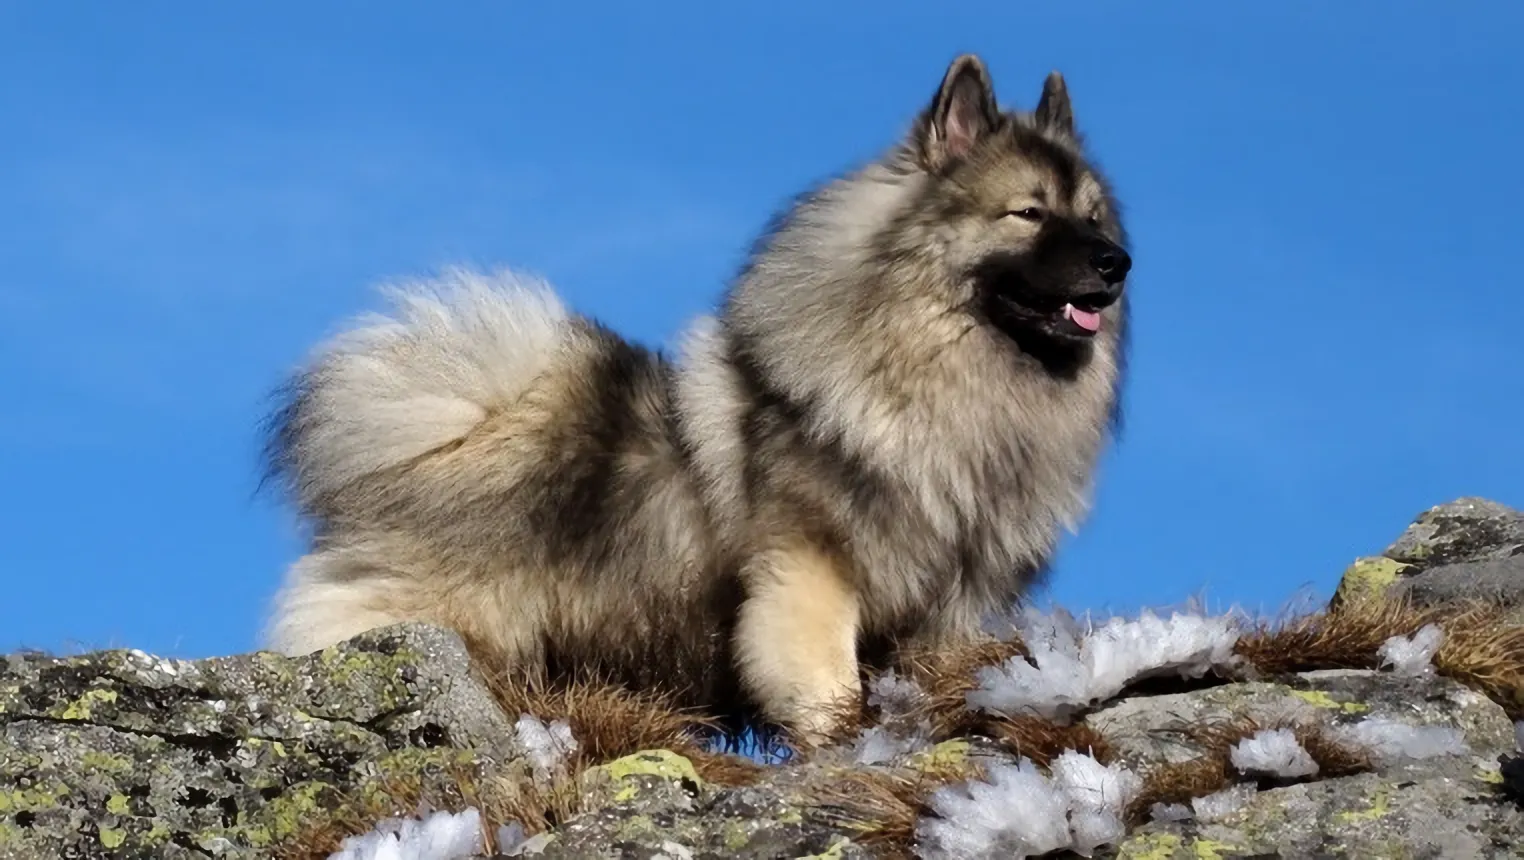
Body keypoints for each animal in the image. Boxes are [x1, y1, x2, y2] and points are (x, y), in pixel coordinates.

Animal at [259, 53, 1133, 741]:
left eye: (1093, 217)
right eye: (1028, 213)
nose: (1117, 262)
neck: (927, 372)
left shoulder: (945, 613)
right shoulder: (809, 578)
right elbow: (826, 687)